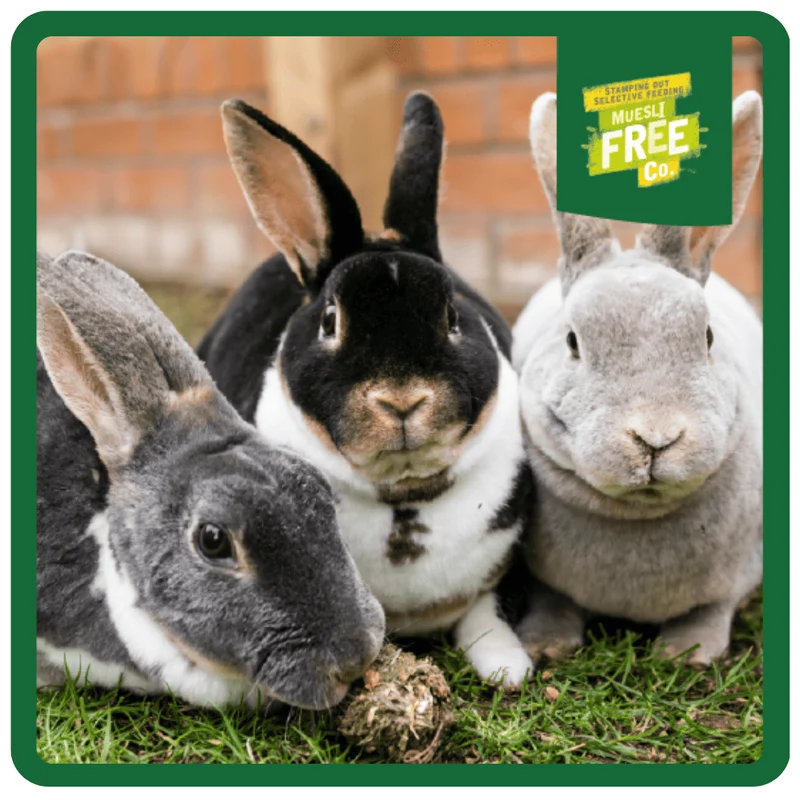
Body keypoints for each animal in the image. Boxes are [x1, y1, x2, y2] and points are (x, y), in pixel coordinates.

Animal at [197, 93, 534, 688]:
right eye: (331, 320)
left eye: (452, 314)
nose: (401, 400)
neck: (404, 497)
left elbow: (488, 611)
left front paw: (507, 668)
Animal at [511, 91, 763, 667]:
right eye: (573, 342)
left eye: (707, 337)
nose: (656, 439)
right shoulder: (544, 580)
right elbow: (552, 601)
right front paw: (544, 645)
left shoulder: (737, 574)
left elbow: (713, 609)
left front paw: (687, 653)